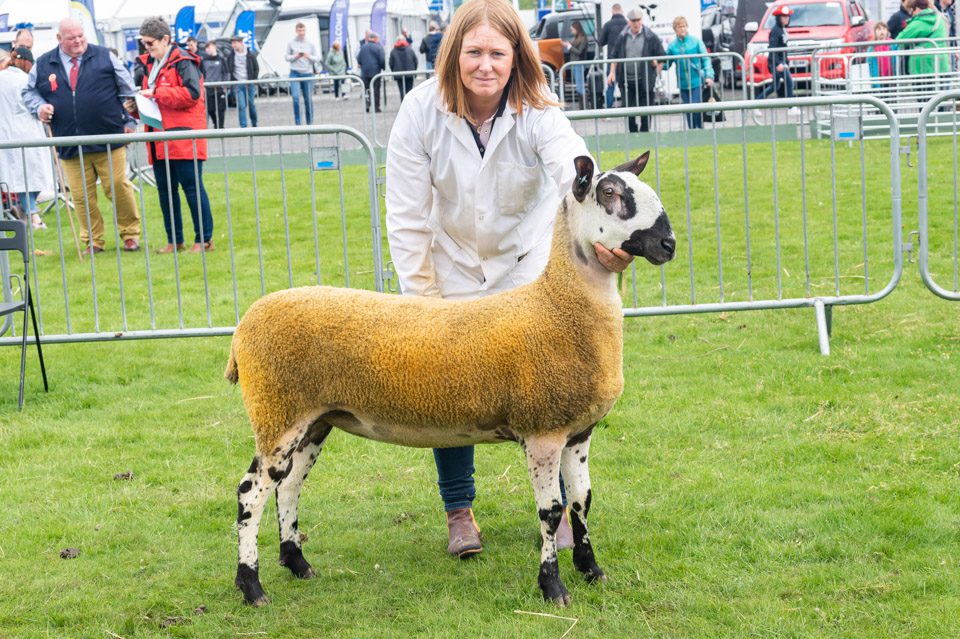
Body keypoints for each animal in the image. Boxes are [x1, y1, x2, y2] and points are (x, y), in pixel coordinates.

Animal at [225, 152, 676, 608]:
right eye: (609, 193)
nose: (668, 244)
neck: (557, 306)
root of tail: (244, 325)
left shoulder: (579, 432)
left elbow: (582, 502)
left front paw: (591, 570)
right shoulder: (542, 431)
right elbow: (550, 512)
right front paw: (552, 587)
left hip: (314, 420)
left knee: (289, 486)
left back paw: (297, 563)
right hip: (277, 413)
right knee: (251, 492)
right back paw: (251, 585)